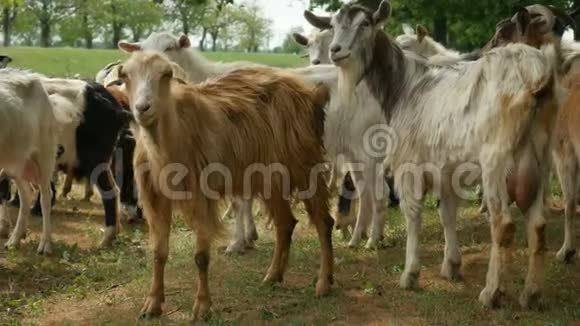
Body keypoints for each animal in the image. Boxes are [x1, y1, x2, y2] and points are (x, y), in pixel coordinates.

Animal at [120, 52, 334, 320]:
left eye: (166, 74)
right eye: (125, 75)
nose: (142, 108)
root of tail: (312, 93)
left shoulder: (201, 195)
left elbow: (201, 256)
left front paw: (202, 307)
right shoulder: (155, 198)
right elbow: (159, 253)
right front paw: (152, 304)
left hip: (305, 166)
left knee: (324, 222)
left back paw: (324, 284)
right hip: (271, 177)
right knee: (286, 224)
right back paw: (272, 276)